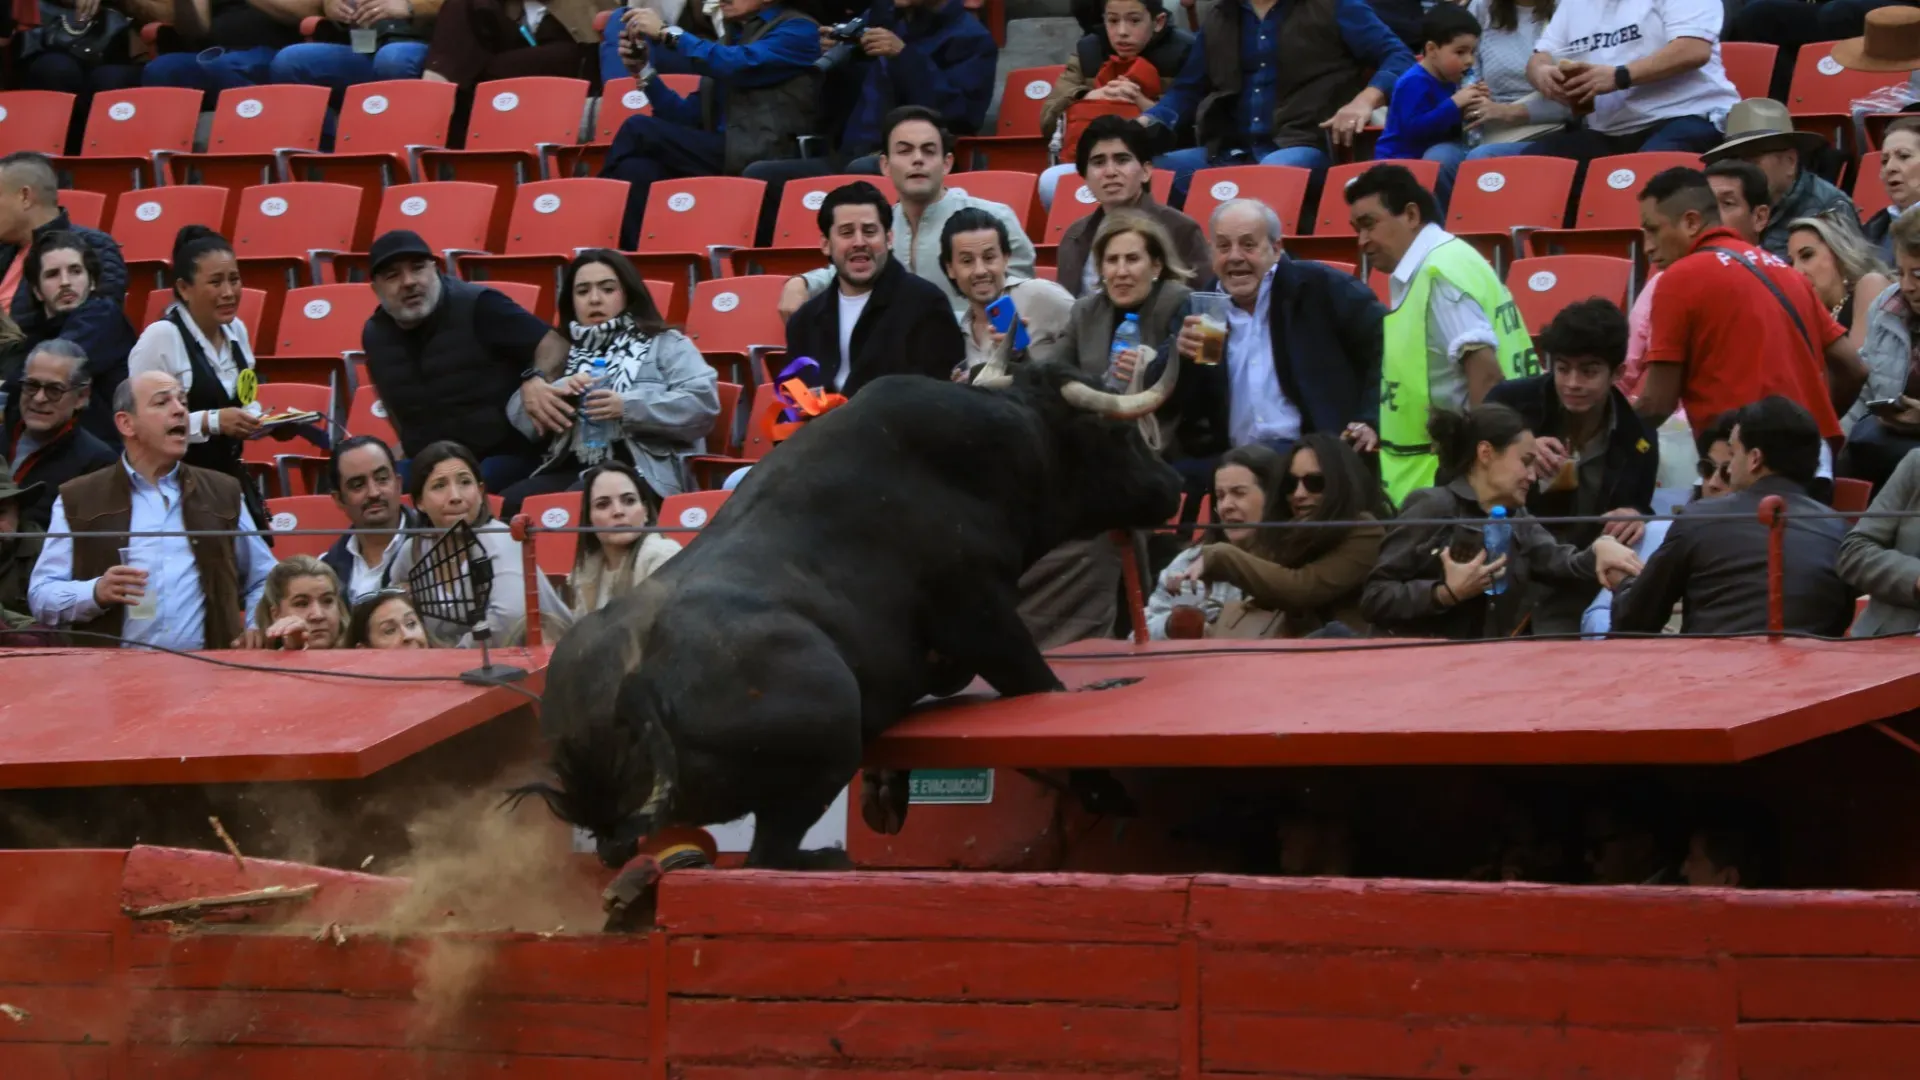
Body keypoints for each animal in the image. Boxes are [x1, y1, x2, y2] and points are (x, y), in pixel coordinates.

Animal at [510, 361, 1175, 864]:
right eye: (1117, 434)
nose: (1170, 485)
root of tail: (637, 683)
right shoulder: (983, 616)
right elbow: (1043, 687)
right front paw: (1105, 790)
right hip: (823, 749)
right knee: (767, 858)